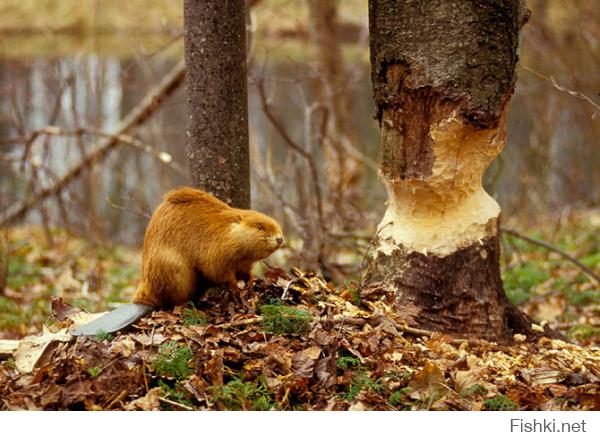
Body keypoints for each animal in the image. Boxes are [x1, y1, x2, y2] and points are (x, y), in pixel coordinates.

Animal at [71, 185, 282, 334]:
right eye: (260, 227)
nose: (280, 238)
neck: (224, 230)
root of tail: (141, 301)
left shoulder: (244, 263)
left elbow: (246, 273)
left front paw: (251, 284)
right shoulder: (215, 250)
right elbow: (218, 271)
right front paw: (235, 289)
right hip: (172, 268)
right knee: (174, 300)